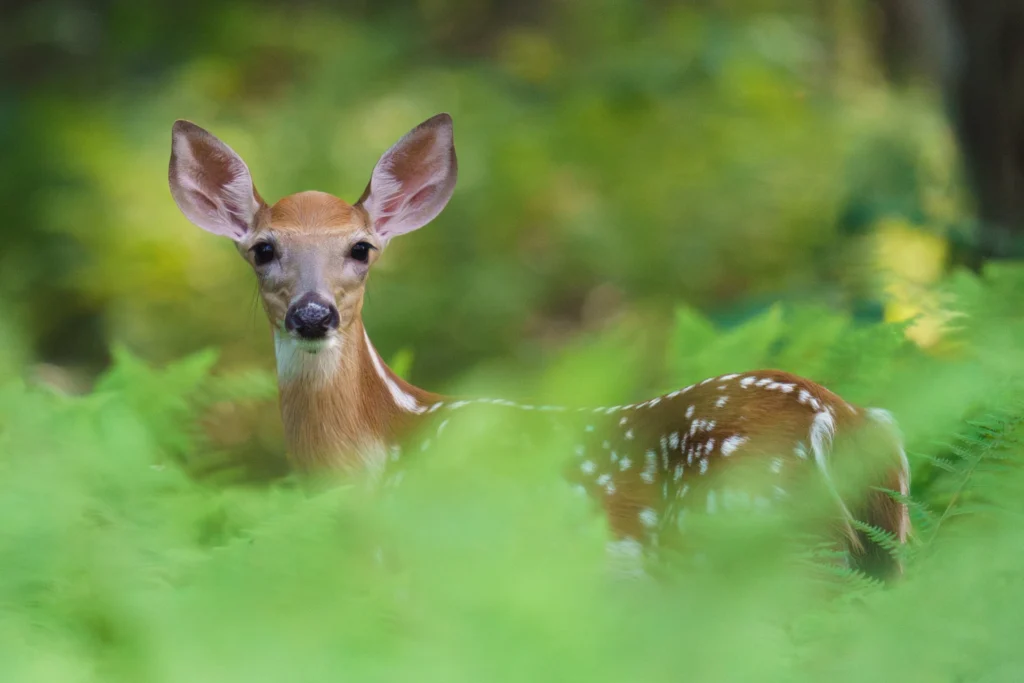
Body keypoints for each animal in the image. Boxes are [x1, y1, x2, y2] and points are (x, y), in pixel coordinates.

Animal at [168, 113, 912, 580]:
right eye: (264, 248)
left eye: (362, 248)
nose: (313, 313)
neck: (379, 453)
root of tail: (844, 420)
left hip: (753, 528)